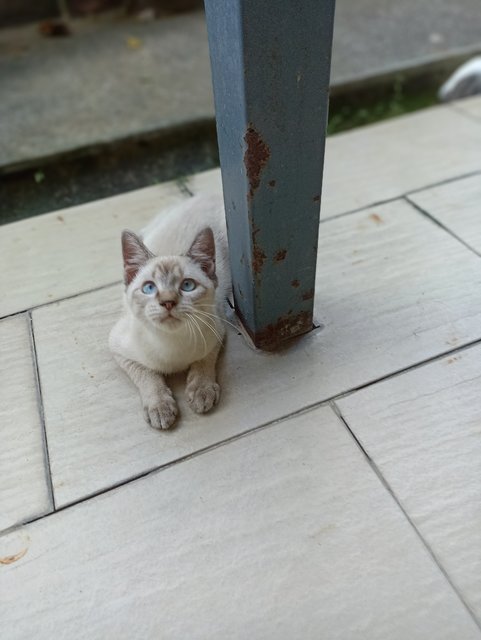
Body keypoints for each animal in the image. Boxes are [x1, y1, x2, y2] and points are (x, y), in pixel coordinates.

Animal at [109, 192, 230, 428]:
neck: (171, 347)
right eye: (149, 288)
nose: (167, 302)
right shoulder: (118, 348)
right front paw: (160, 407)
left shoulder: (217, 331)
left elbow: (204, 361)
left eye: (187, 286)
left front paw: (201, 391)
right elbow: (147, 374)